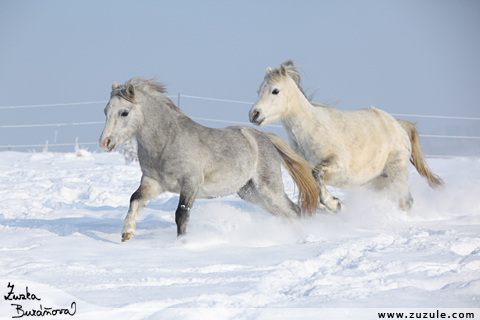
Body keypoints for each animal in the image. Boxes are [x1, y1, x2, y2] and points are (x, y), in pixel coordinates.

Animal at [98, 78, 318, 242]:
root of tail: (263, 137)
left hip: (269, 187)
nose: (104, 142)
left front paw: (181, 244)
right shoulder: (153, 182)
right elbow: (134, 199)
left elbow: (181, 215)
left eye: (124, 112)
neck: (167, 142)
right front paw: (126, 233)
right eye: (106, 111)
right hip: (249, 192)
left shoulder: (190, 184)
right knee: (280, 213)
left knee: (294, 210)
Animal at [249, 60, 444, 212]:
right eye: (258, 90)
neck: (309, 130)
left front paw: (334, 204)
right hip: (378, 181)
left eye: (275, 90)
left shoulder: (338, 163)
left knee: (405, 201)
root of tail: (398, 126)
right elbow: (315, 193)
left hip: (397, 172)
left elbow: (317, 174)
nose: (254, 115)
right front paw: (337, 205)